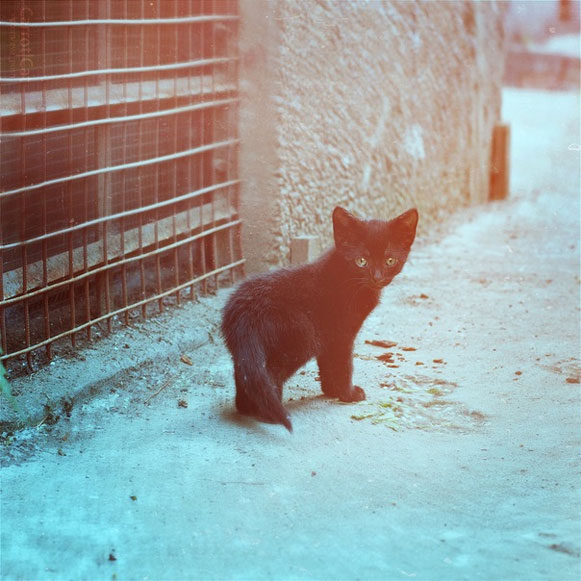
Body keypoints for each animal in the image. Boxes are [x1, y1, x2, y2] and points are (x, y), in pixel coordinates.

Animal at [221, 205, 416, 430]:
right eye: (361, 261)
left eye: (389, 261)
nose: (376, 278)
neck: (349, 280)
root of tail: (243, 311)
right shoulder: (341, 334)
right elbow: (343, 365)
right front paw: (348, 394)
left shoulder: (328, 335)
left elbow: (328, 365)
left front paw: (332, 391)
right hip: (301, 337)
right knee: (268, 375)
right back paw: (270, 413)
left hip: (249, 351)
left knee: (247, 375)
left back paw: (247, 408)